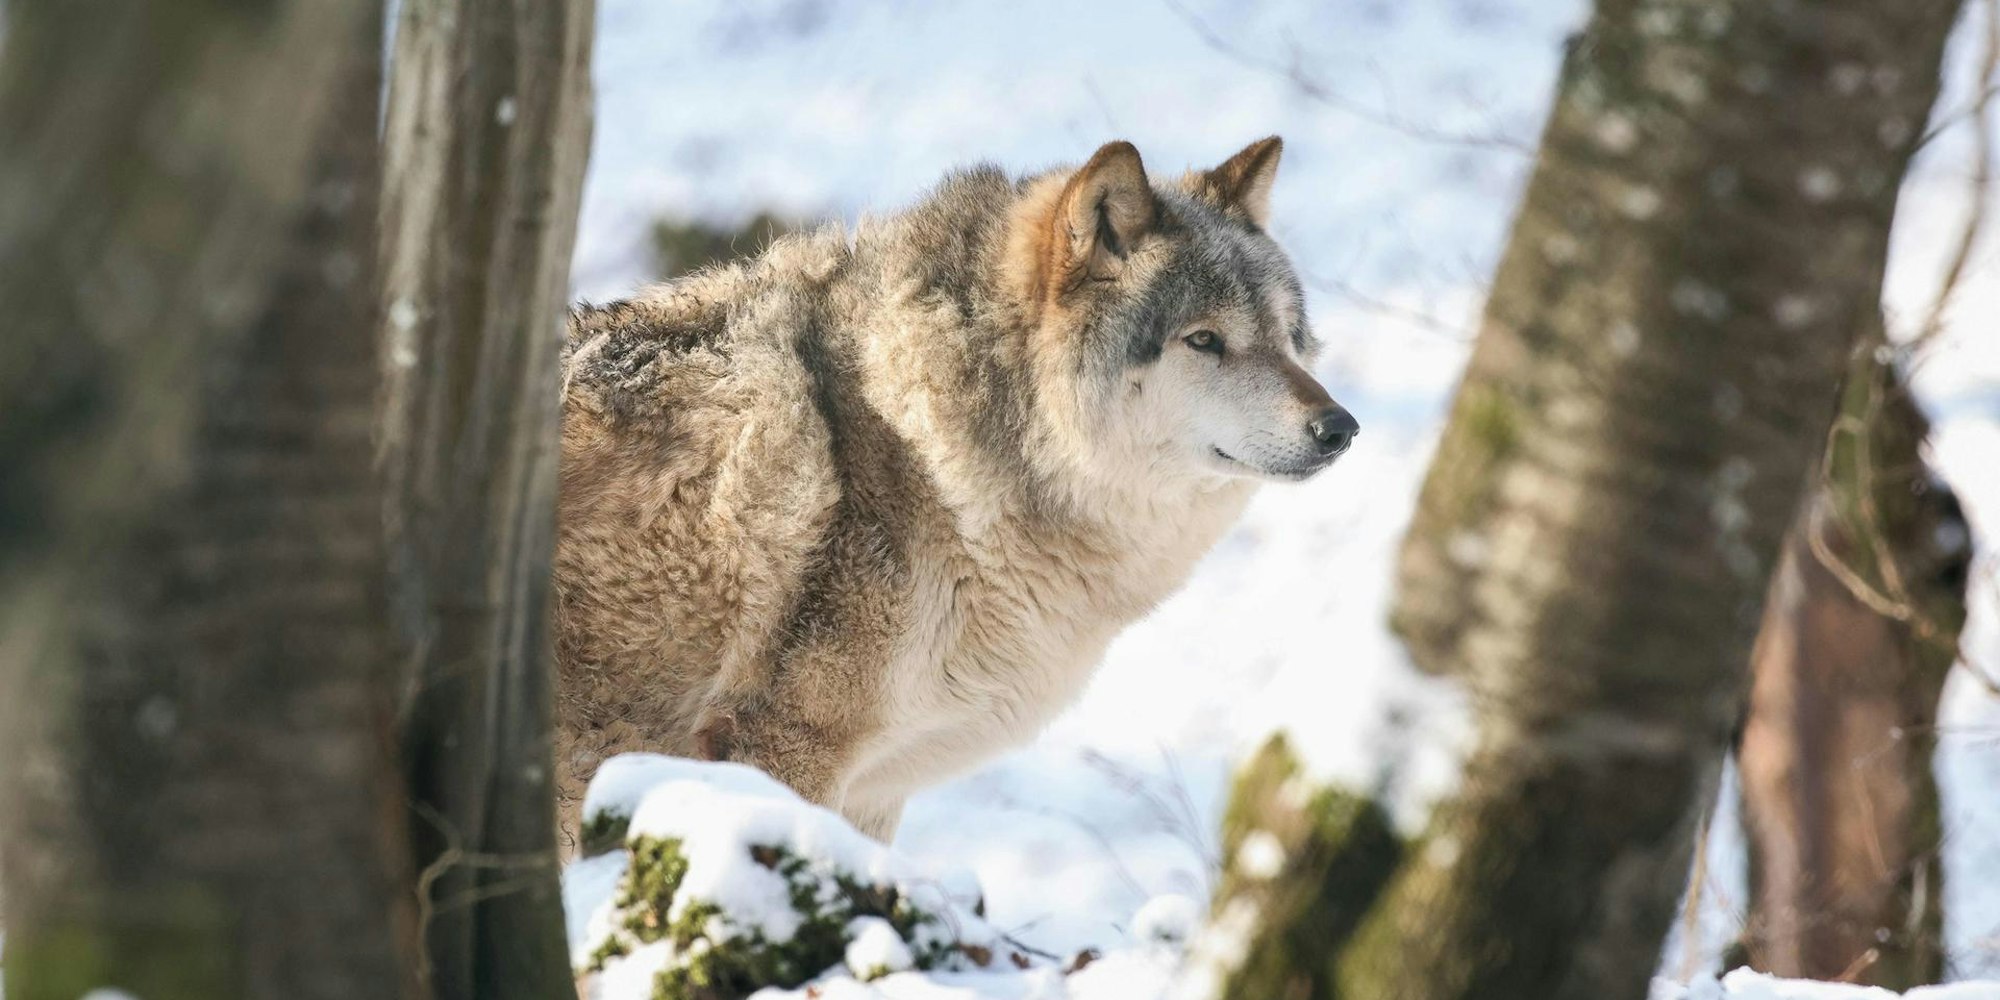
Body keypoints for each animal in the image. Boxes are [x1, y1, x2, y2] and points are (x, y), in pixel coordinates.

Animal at [553, 138, 1356, 842]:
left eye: (1287, 339)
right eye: (1204, 340)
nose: (1341, 427)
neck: (920, 445)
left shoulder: (874, 794)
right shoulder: (784, 751)